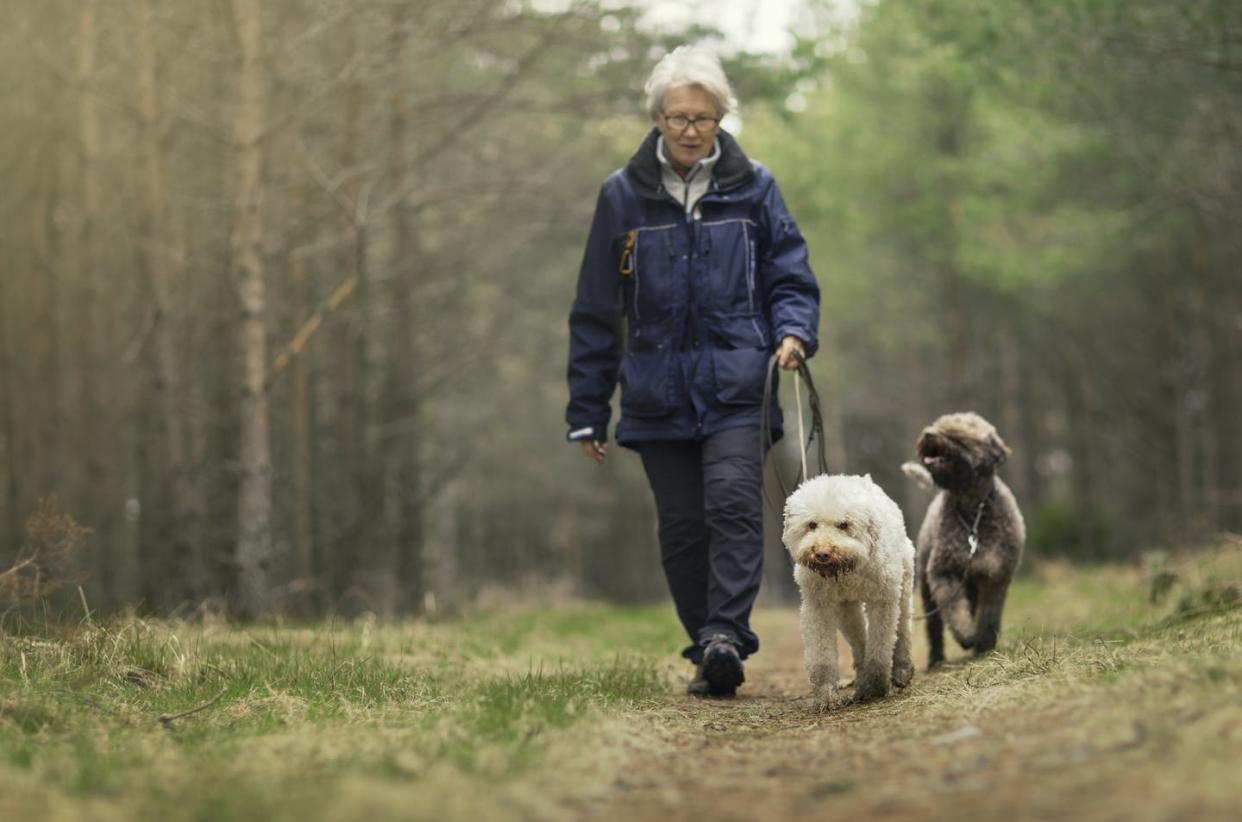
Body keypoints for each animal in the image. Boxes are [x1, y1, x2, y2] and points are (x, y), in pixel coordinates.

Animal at [779, 474, 919, 710]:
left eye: (844, 524)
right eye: (812, 524)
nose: (822, 553)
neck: (845, 571)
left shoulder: (883, 601)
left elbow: (880, 648)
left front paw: (876, 686)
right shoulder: (818, 605)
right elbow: (822, 655)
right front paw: (826, 696)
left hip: (904, 586)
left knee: (903, 629)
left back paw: (901, 669)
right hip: (847, 609)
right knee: (859, 640)